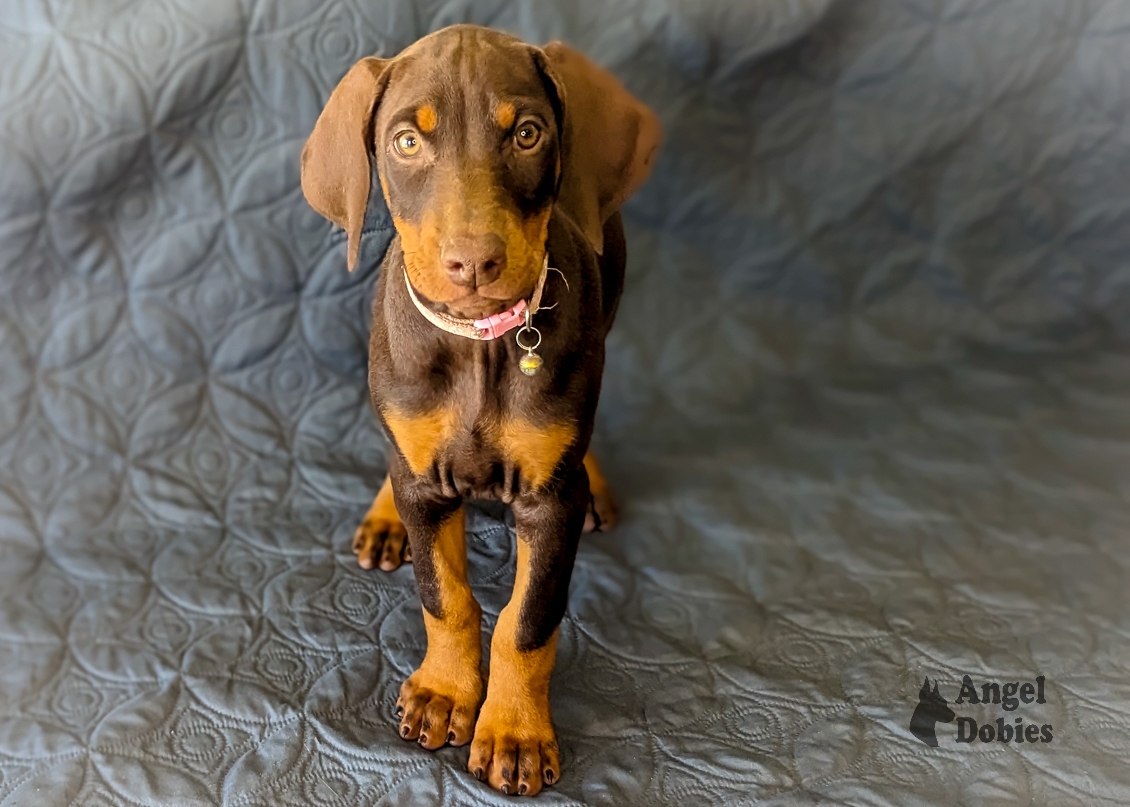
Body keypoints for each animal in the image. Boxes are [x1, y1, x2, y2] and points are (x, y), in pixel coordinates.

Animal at [300, 23, 659, 791]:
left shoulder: (547, 504)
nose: (473, 263)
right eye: (407, 142)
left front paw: (514, 730)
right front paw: (445, 691)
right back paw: (386, 517)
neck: (480, 346)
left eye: (527, 134)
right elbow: (446, 597)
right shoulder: (428, 486)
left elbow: (529, 620)